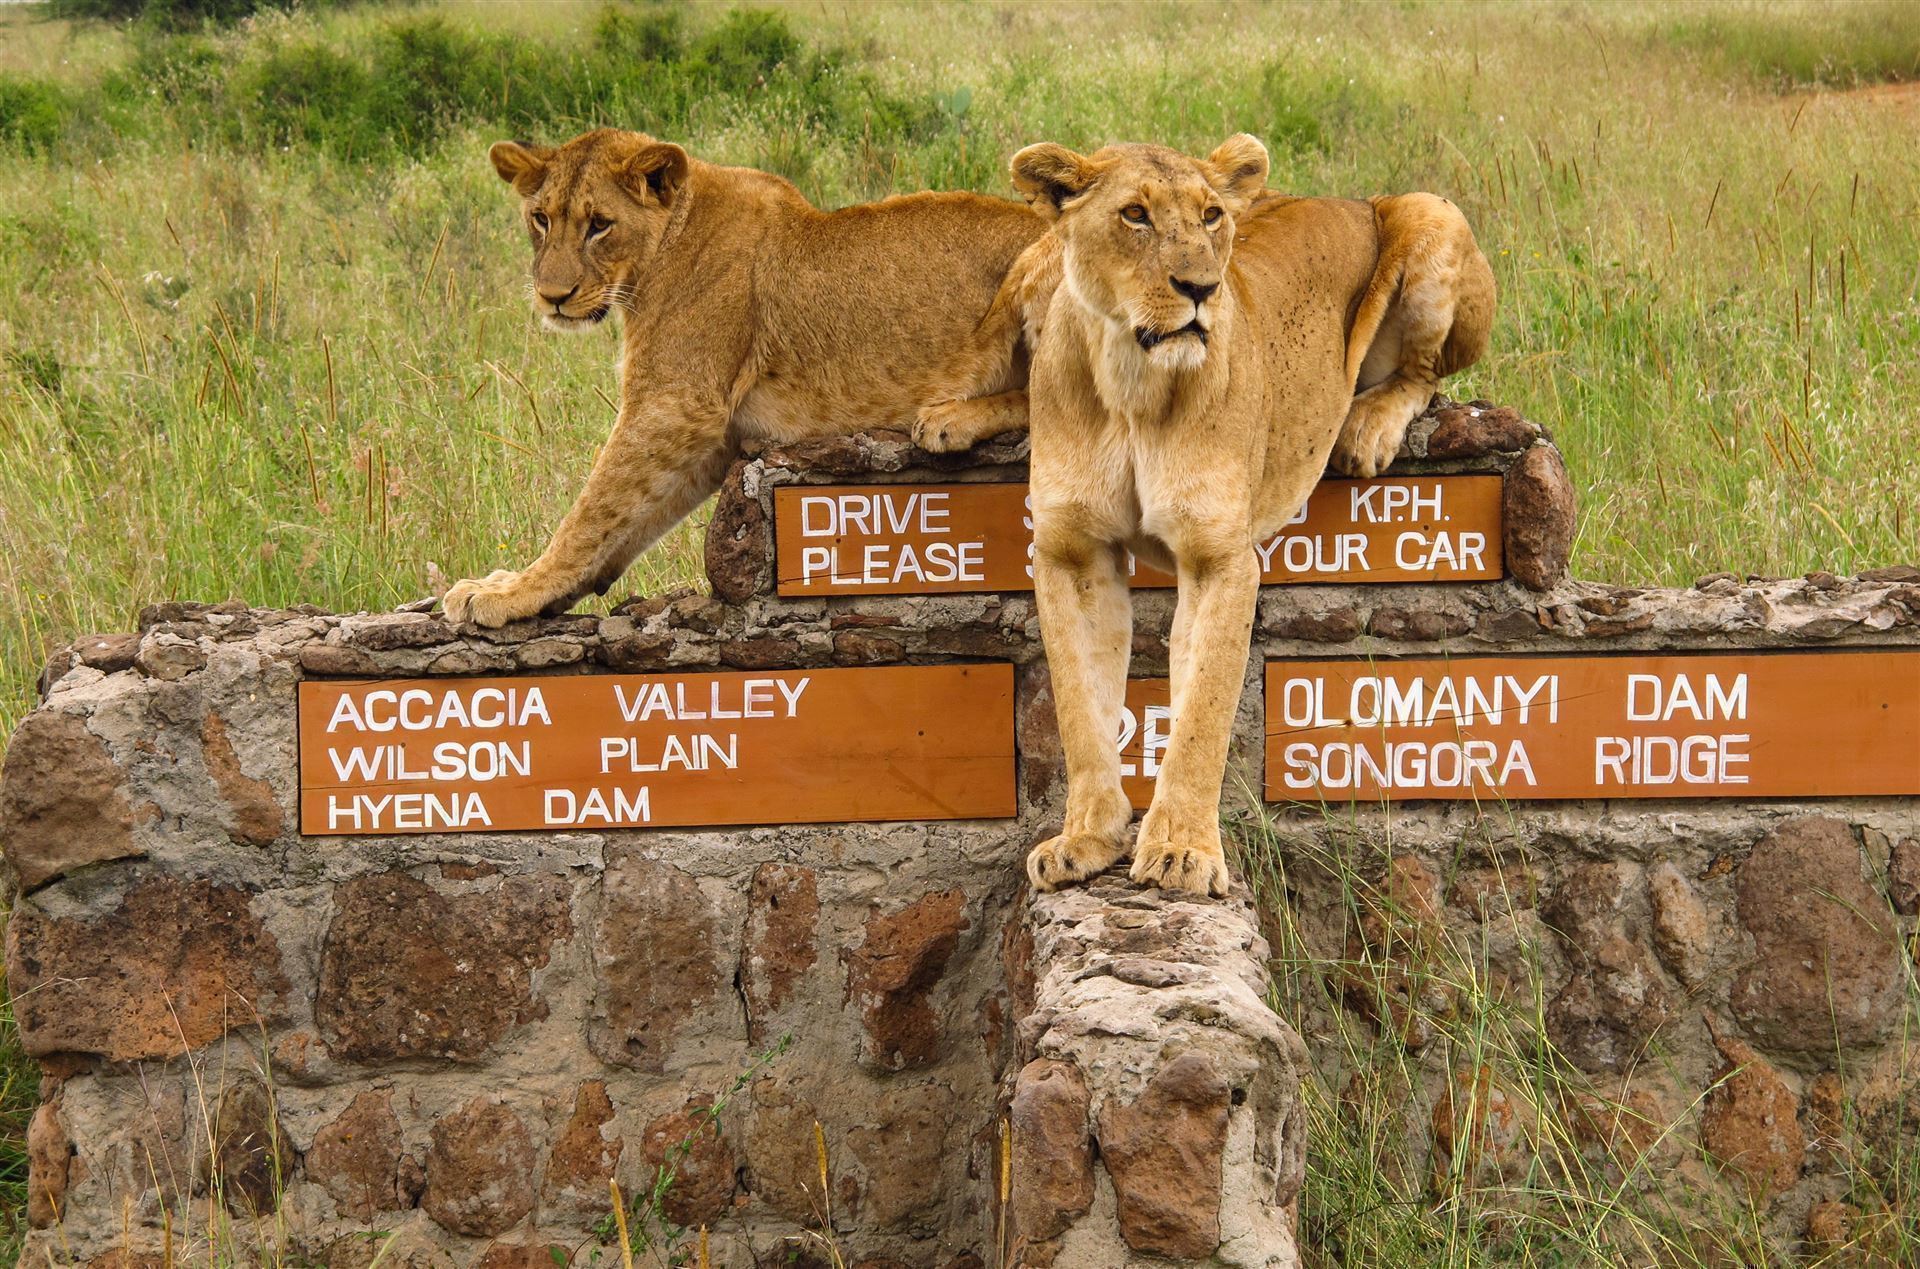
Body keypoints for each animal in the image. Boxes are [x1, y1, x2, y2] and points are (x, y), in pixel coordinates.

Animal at [442, 128, 1043, 627]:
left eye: (599, 225)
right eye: (540, 218)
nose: (553, 296)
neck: (665, 243)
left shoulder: (675, 405)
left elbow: (589, 511)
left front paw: (509, 593)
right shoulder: (716, 434)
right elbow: (626, 520)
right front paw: (537, 590)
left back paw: (950, 417)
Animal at [922, 136, 1494, 896]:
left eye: (1212, 216)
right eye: (1135, 214)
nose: (1200, 289)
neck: (1129, 384)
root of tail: (1353, 196)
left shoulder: (1219, 558)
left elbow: (1201, 715)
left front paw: (1181, 851)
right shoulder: (1072, 555)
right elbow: (1080, 707)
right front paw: (1086, 838)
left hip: (1431, 214)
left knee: (1422, 375)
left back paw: (1366, 427)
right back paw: (946, 417)